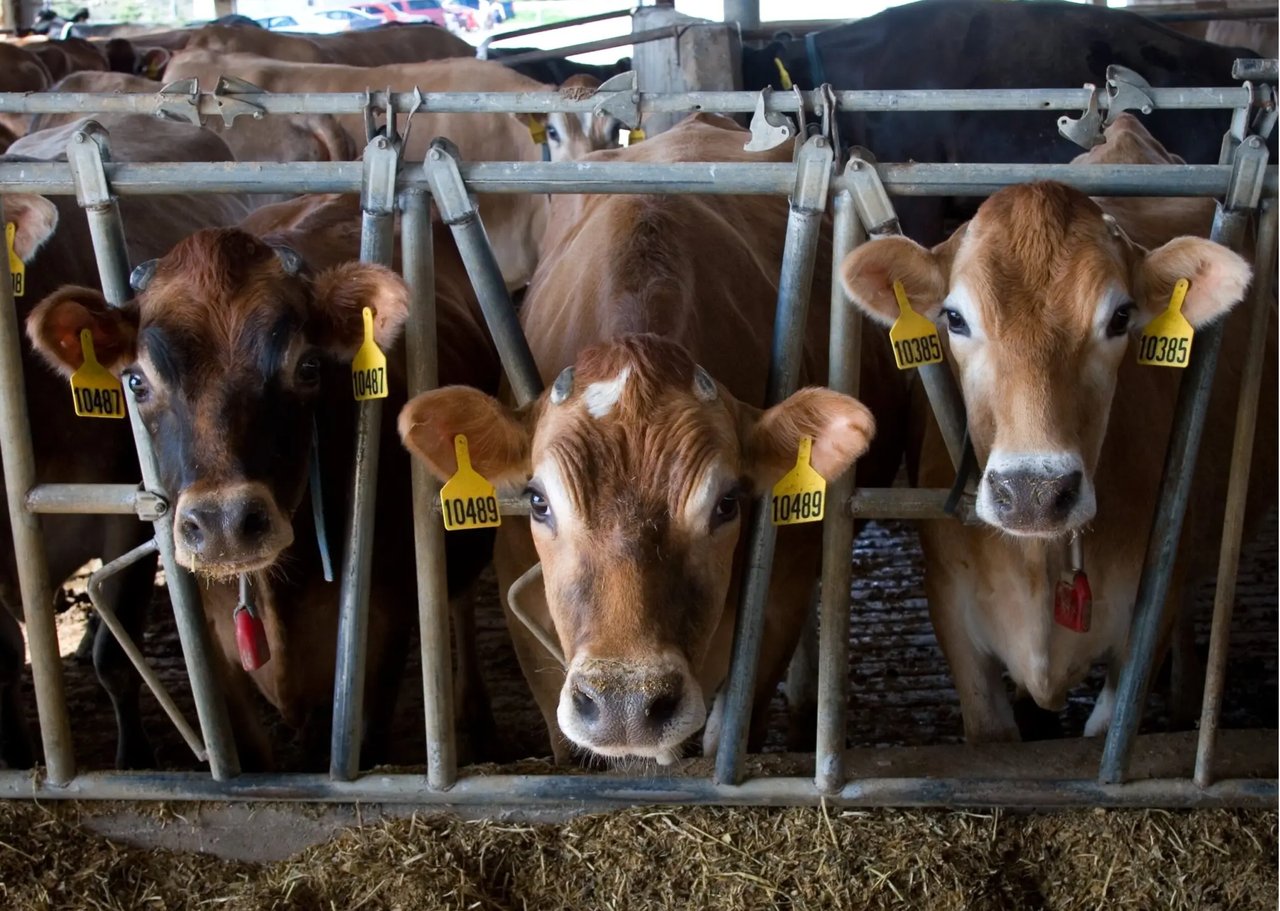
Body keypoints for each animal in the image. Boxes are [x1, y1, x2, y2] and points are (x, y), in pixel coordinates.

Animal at [26, 196, 501, 769]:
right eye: (136, 381)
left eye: (309, 367)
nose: (223, 524)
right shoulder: (212, 655)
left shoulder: (380, 638)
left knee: (459, 601)